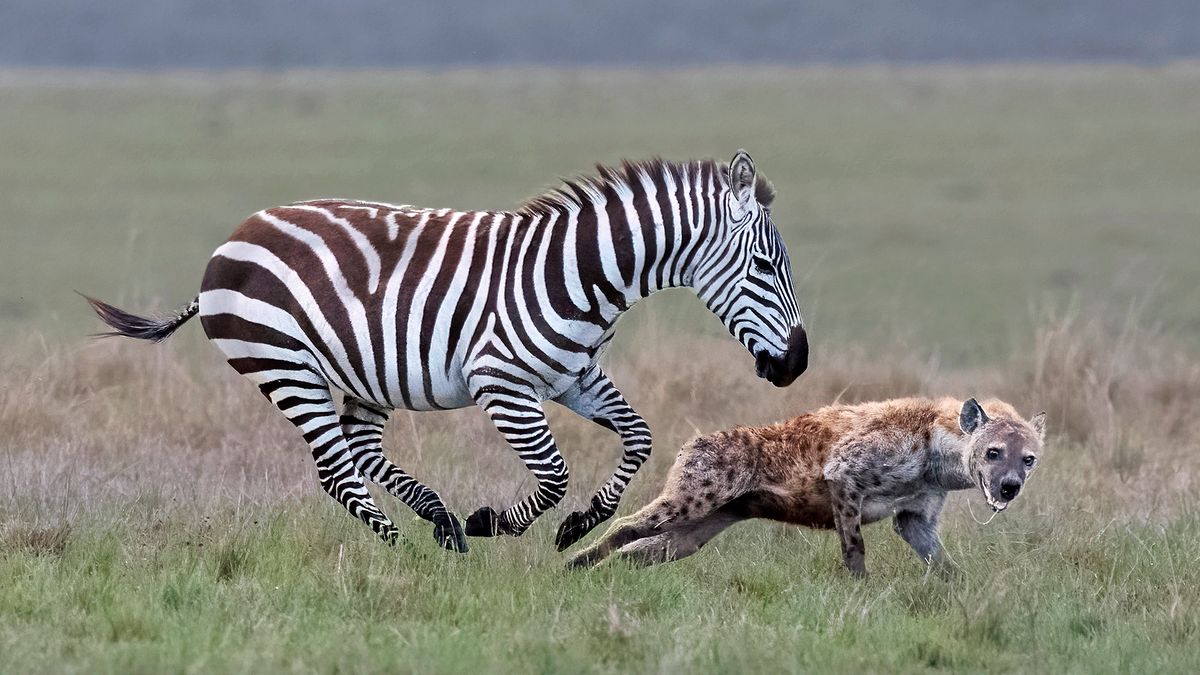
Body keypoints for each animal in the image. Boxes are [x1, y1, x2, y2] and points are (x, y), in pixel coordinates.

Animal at [85, 150, 809, 554]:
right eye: (766, 266)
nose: (797, 363)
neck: (582, 275)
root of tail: (232, 239)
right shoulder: (503, 385)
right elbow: (553, 475)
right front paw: (495, 520)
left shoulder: (574, 376)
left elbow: (639, 437)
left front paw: (579, 525)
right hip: (287, 366)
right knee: (338, 471)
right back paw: (410, 553)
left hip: (364, 374)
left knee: (362, 452)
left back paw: (437, 520)